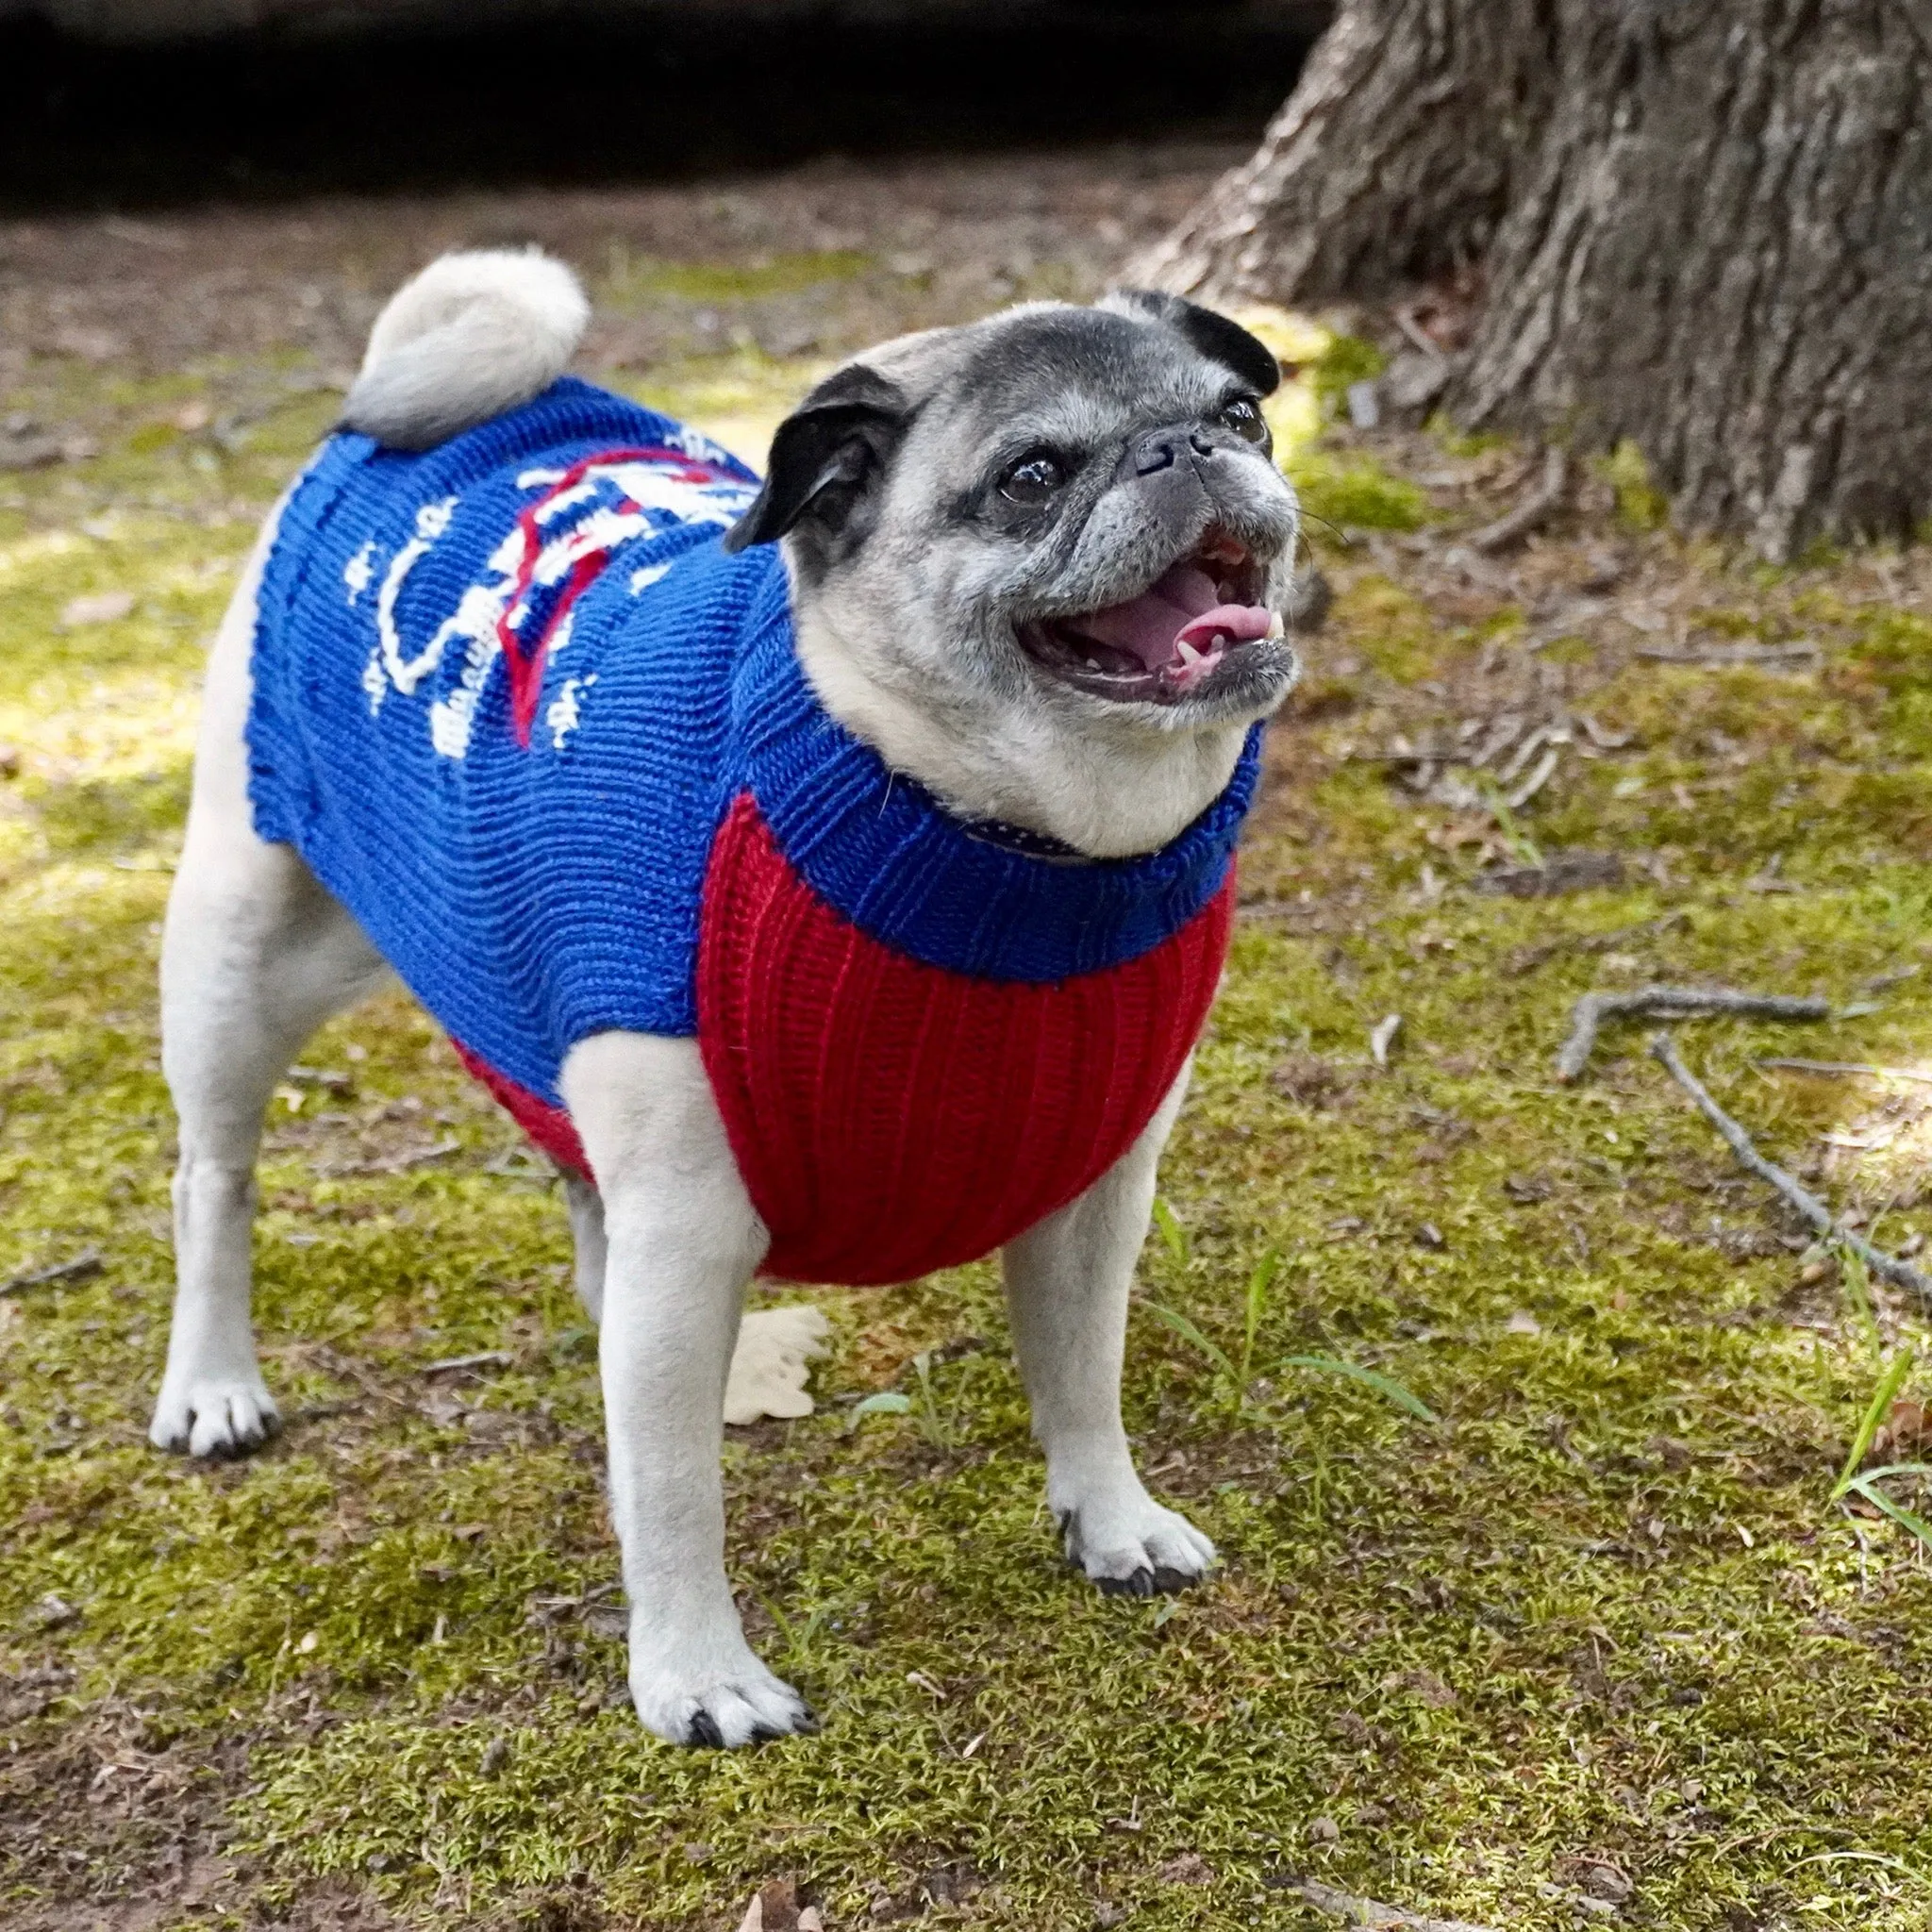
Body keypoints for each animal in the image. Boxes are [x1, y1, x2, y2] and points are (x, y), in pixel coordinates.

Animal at [150, 249, 1298, 1746]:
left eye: (1242, 414)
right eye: (1034, 476)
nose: (1186, 450)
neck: (1005, 846)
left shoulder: (1093, 1198)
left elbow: (1081, 1377)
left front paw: (1109, 1520)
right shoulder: (691, 1239)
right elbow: (673, 1489)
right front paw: (697, 1673)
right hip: (241, 951)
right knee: (214, 1181)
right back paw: (212, 1384)